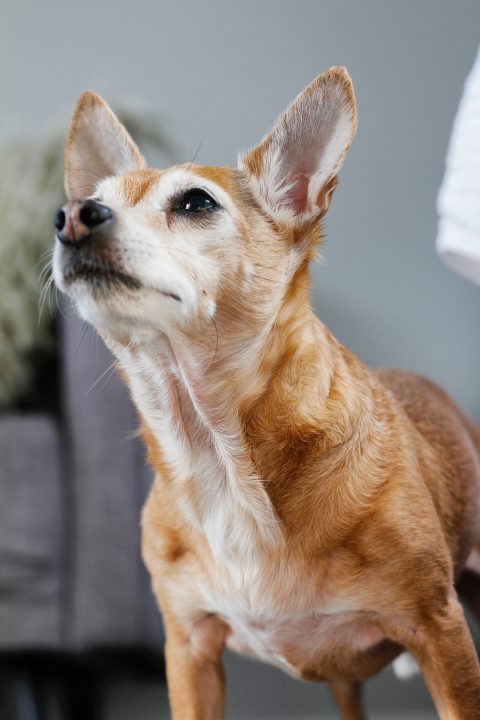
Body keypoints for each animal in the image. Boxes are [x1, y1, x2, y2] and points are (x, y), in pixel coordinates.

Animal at [52, 69, 480, 720]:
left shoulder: (438, 632)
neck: (218, 453)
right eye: (89, 198)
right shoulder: (191, 651)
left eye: (196, 203)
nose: (73, 215)